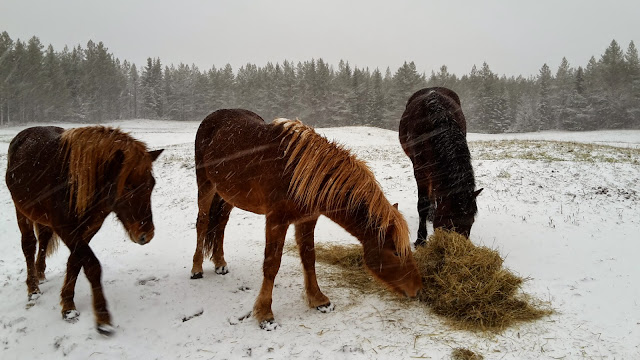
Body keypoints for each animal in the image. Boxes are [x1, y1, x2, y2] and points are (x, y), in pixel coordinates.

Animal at [5, 126, 164, 334]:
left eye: (152, 184)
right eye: (127, 186)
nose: (146, 234)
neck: (74, 182)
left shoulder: (89, 229)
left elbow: (75, 263)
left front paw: (67, 305)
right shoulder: (67, 229)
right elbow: (92, 265)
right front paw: (102, 317)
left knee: (44, 240)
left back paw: (40, 275)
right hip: (21, 211)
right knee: (29, 245)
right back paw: (33, 289)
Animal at [188, 108, 422, 330]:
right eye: (395, 251)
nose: (417, 290)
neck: (297, 174)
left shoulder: (307, 220)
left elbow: (309, 258)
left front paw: (319, 300)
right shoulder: (276, 221)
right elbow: (271, 265)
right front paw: (265, 315)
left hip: (228, 195)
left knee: (221, 225)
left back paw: (220, 264)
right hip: (206, 185)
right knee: (203, 223)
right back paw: (197, 268)